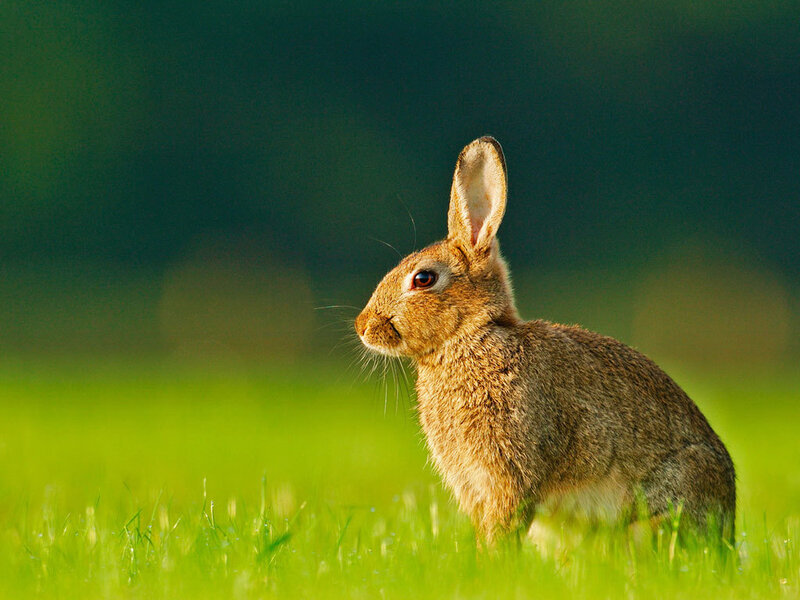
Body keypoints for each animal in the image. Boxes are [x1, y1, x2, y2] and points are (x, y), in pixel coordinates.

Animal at [355, 136, 735, 543]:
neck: (470, 336)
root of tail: (729, 523)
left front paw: (496, 555)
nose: (363, 326)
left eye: (423, 279)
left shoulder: (510, 472)